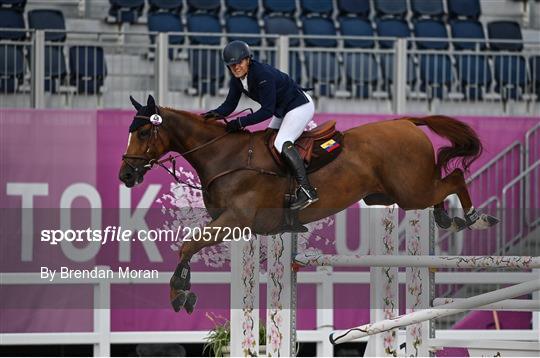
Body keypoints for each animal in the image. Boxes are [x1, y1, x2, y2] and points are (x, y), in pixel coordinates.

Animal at [118, 96, 498, 314]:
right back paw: (447, 217)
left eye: (144, 133)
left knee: (454, 177)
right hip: (390, 194)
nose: (125, 175)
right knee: (441, 185)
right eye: (131, 131)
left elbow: (188, 244)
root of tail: (405, 121)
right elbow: (190, 246)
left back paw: (475, 218)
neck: (224, 157)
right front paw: (184, 290)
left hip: (410, 191)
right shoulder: (236, 225)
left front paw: (178, 293)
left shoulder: (235, 219)